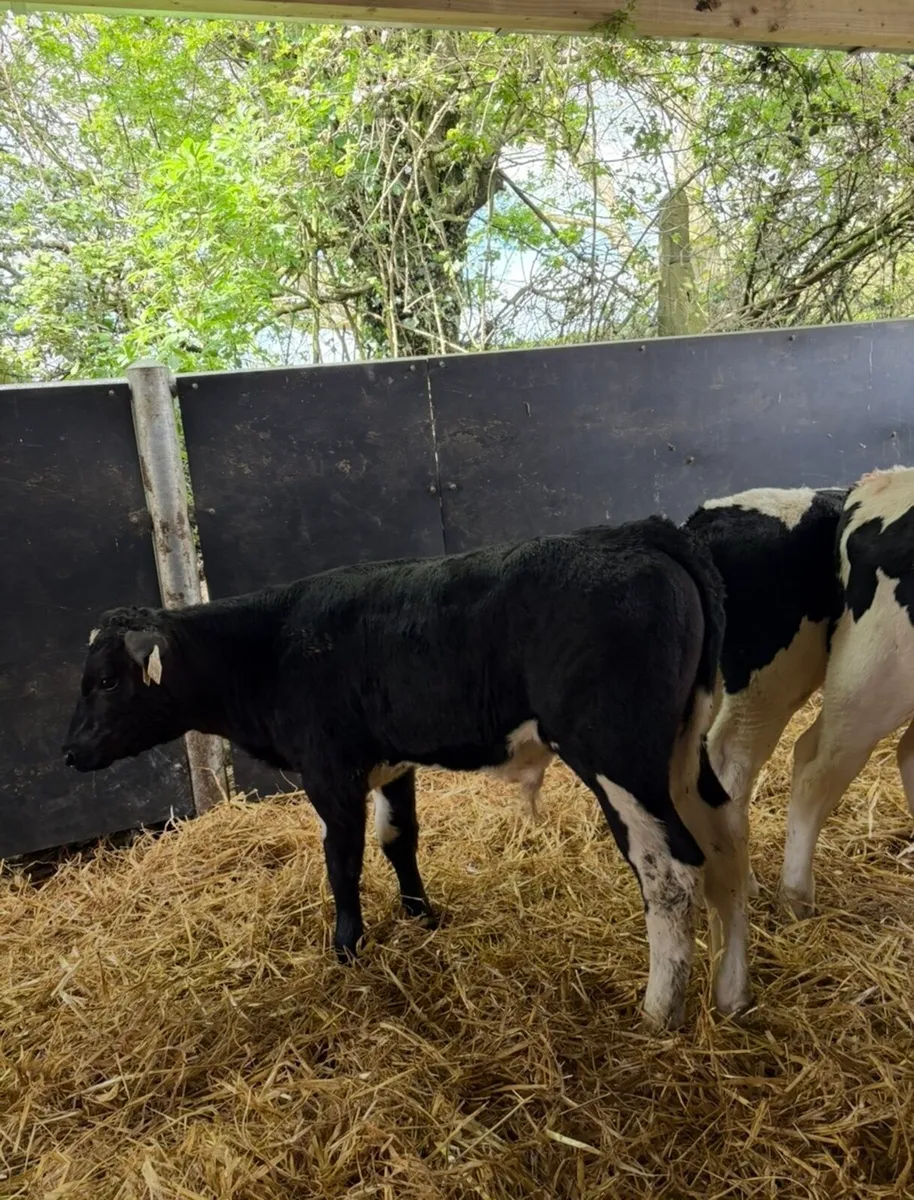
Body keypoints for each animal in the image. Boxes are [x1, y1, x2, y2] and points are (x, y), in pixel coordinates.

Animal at [63, 516, 752, 1030]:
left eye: (106, 681)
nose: (70, 753)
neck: (273, 643)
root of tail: (640, 533)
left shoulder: (330, 772)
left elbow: (342, 860)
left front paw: (347, 947)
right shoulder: (391, 763)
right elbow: (399, 838)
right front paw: (422, 916)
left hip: (617, 757)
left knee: (670, 873)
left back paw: (658, 1012)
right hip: (685, 752)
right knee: (726, 848)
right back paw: (732, 996)